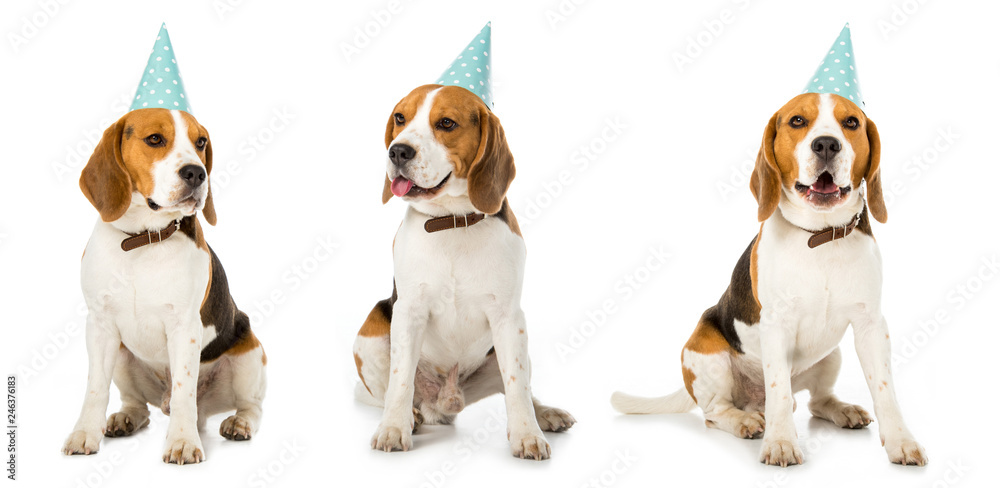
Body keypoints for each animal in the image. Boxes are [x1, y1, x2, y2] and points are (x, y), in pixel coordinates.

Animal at [358, 22, 580, 462]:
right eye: (400, 118)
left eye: (446, 123)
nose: (397, 151)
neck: (451, 224)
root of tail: (445, 400)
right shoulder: (407, 312)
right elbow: (399, 381)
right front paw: (393, 429)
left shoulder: (509, 317)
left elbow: (516, 387)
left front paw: (527, 435)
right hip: (371, 332)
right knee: (393, 392)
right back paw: (412, 416)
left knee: (520, 387)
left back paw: (545, 414)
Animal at [608, 23, 928, 468]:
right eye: (798, 120)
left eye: (851, 122)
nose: (826, 144)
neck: (820, 237)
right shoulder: (776, 325)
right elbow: (776, 389)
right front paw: (780, 442)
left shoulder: (870, 325)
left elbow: (885, 390)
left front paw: (900, 441)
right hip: (706, 353)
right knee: (720, 412)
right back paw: (747, 421)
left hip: (831, 355)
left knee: (812, 402)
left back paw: (840, 409)